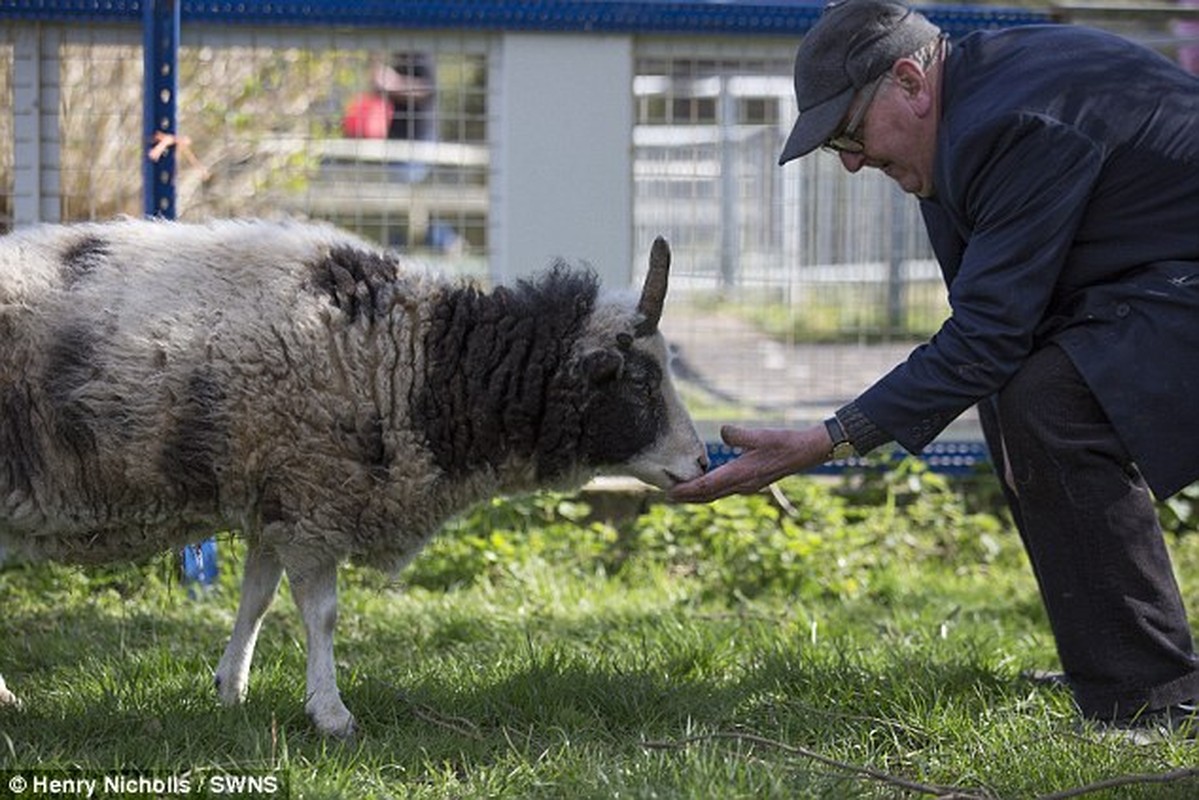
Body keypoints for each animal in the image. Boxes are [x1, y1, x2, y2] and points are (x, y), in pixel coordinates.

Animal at [0, 215, 705, 734]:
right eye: (641, 382)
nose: (700, 463)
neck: (424, 364)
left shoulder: (278, 494)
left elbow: (257, 599)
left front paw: (231, 689)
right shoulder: (315, 497)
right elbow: (323, 614)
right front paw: (332, 715)